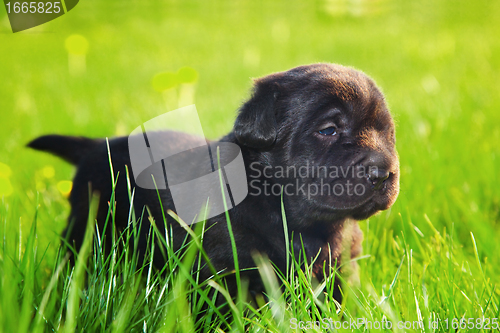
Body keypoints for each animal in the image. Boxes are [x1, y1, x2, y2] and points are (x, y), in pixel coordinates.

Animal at [29, 63, 400, 302]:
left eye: (387, 134)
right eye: (329, 130)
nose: (383, 172)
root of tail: (97, 145)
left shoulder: (339, 267)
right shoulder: (225, 267)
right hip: (87, 233)